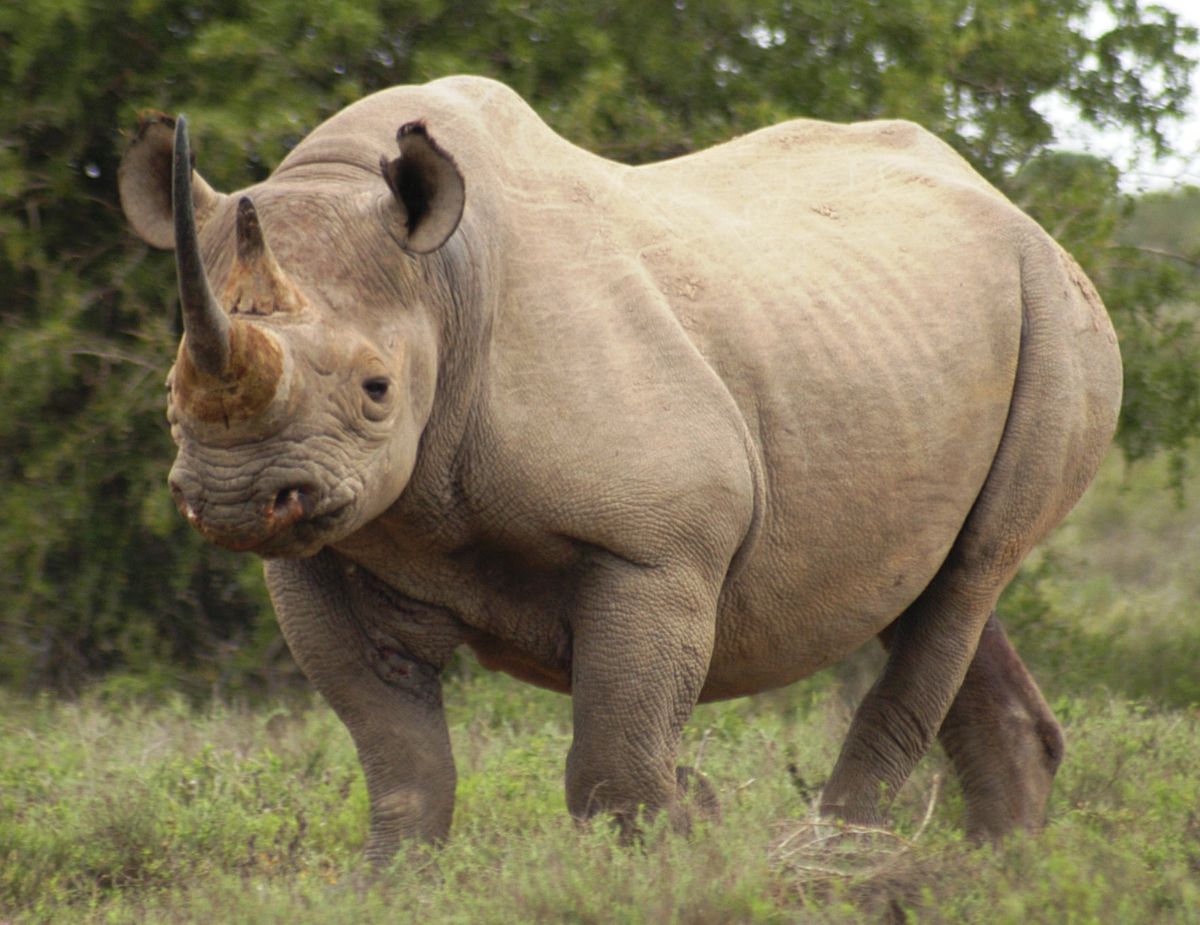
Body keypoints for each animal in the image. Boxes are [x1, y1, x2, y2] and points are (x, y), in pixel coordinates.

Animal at [118, 76, 1121, 861]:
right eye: (168, 396)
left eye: (376, 389)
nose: (235, 498)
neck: (443, 284)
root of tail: (1012, 206)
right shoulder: (320, 557)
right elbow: (403, 762)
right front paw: (390, 889)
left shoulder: (656, 544)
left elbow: (614, 763)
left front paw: (677, 853)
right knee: (933, 588)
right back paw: (994, 877)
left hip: (1056, 312)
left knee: (973, 570)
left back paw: (826, 867)